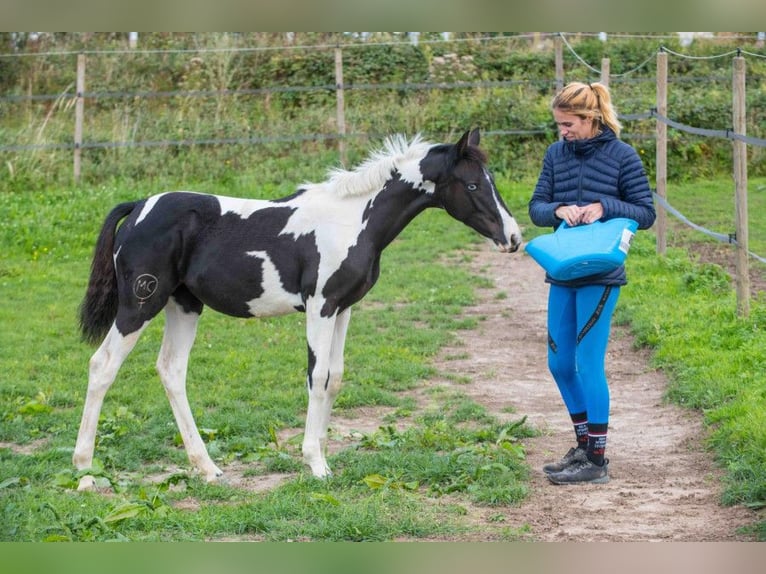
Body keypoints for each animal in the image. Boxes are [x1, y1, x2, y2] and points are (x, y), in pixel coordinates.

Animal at [72, 127, 524, 490]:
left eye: (490, 181)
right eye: (471, 186)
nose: (514, 238)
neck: (353, 219)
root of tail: (137, 207)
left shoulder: (344, 308)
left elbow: (335, 377)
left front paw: (323, 454)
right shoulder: (319, 306)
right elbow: (316, 376)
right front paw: (315, 464)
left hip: (183, 305)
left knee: (171, 370)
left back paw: (207, 468)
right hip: (140, 303)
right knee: (102, 366)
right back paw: (85, 472)